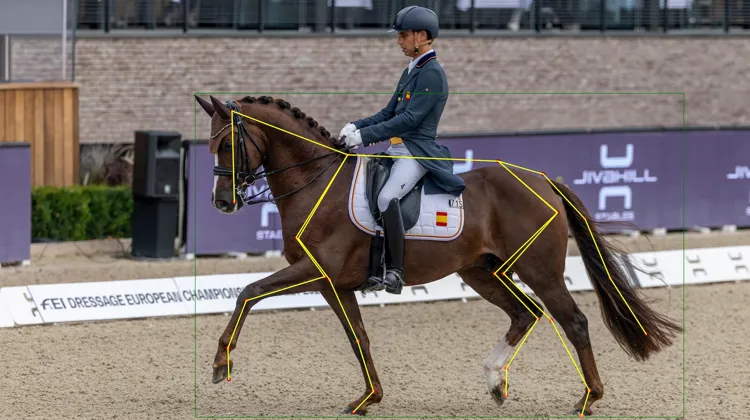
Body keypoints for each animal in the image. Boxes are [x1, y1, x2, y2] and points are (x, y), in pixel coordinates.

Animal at [194, 94, 681, 416]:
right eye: (211, 145)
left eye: (228, 144)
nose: (221, 202)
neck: (316, 182)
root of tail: (543, 180)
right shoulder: (334, 285)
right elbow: (358, 338)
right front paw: (368, 398)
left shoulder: (313, 272)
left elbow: (248, 291)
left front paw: (220, 364)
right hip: (484, 272)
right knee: (525, 314)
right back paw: (495, 381)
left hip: (539, 270)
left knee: (572, 320)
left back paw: (588, 397)